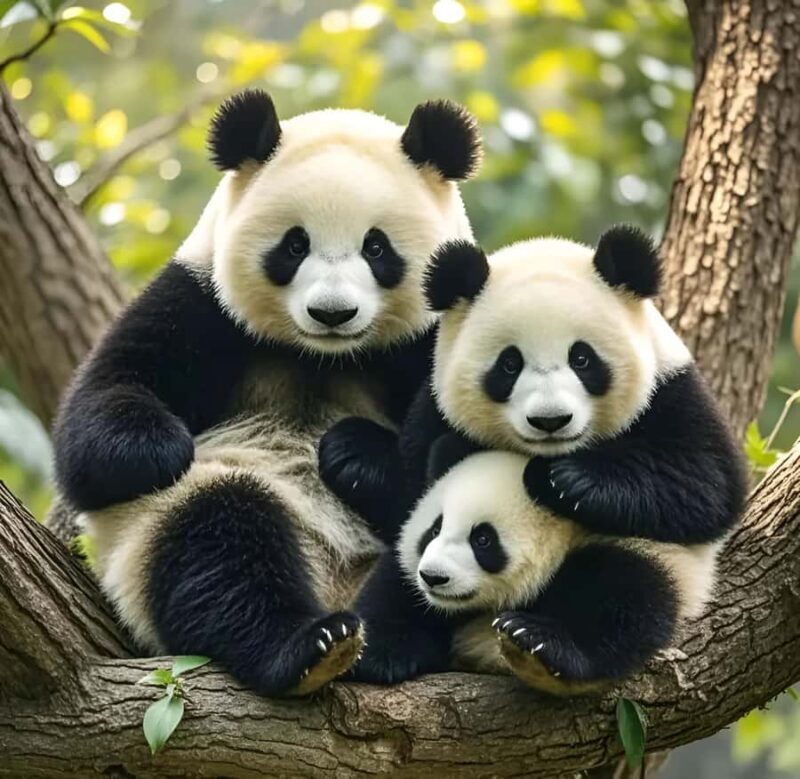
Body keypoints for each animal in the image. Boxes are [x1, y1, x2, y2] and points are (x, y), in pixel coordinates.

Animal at [52, 89, 482, 697]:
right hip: (164, 532)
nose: (332, 313)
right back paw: (307, 647)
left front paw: (355, 454)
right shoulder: (201, 302)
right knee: (218, 546)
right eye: (295, 244)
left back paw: (389, 646)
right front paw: (158, 448)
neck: (321, 357)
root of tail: (336, 592)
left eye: (377, 248)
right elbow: (104, 409)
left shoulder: (437, 337)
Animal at [319, 226, 746, 691]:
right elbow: (410, 491)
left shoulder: (671, 391)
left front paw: (569, 482)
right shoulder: (436, 409)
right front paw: (351, 452)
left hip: (651, 561)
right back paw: (378, 648)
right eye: (509, 365)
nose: (550, 420)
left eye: (582, 358)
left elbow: (706, 484)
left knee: (618, 594)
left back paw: (544, 645)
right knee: (400, 585)